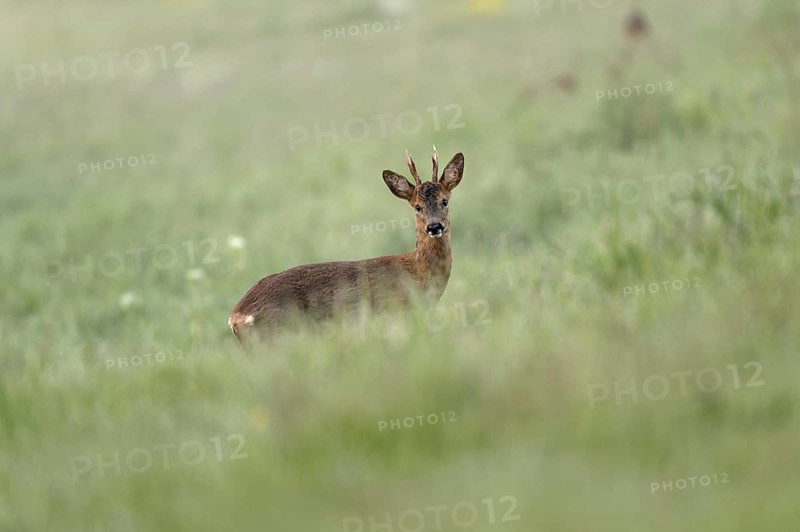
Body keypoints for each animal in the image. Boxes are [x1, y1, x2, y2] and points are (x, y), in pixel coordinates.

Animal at [228, 148, 465, 344]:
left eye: (445, 201)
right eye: (417, 206)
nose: (434, 226)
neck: (418, 275)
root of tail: (236, 317)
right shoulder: (395, 313)